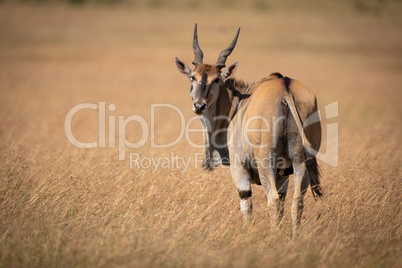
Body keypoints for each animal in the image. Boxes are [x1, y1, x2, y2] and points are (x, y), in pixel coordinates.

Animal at [174, 24, 322, 234]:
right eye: (192, 78)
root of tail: (286, 90)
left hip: (266, 162)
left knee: (272, 200)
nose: (199, 106)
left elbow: (247, 205)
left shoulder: (240, 170)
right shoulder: (283, 176)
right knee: (297, 202)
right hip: (301, 162)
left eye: (216, 80)